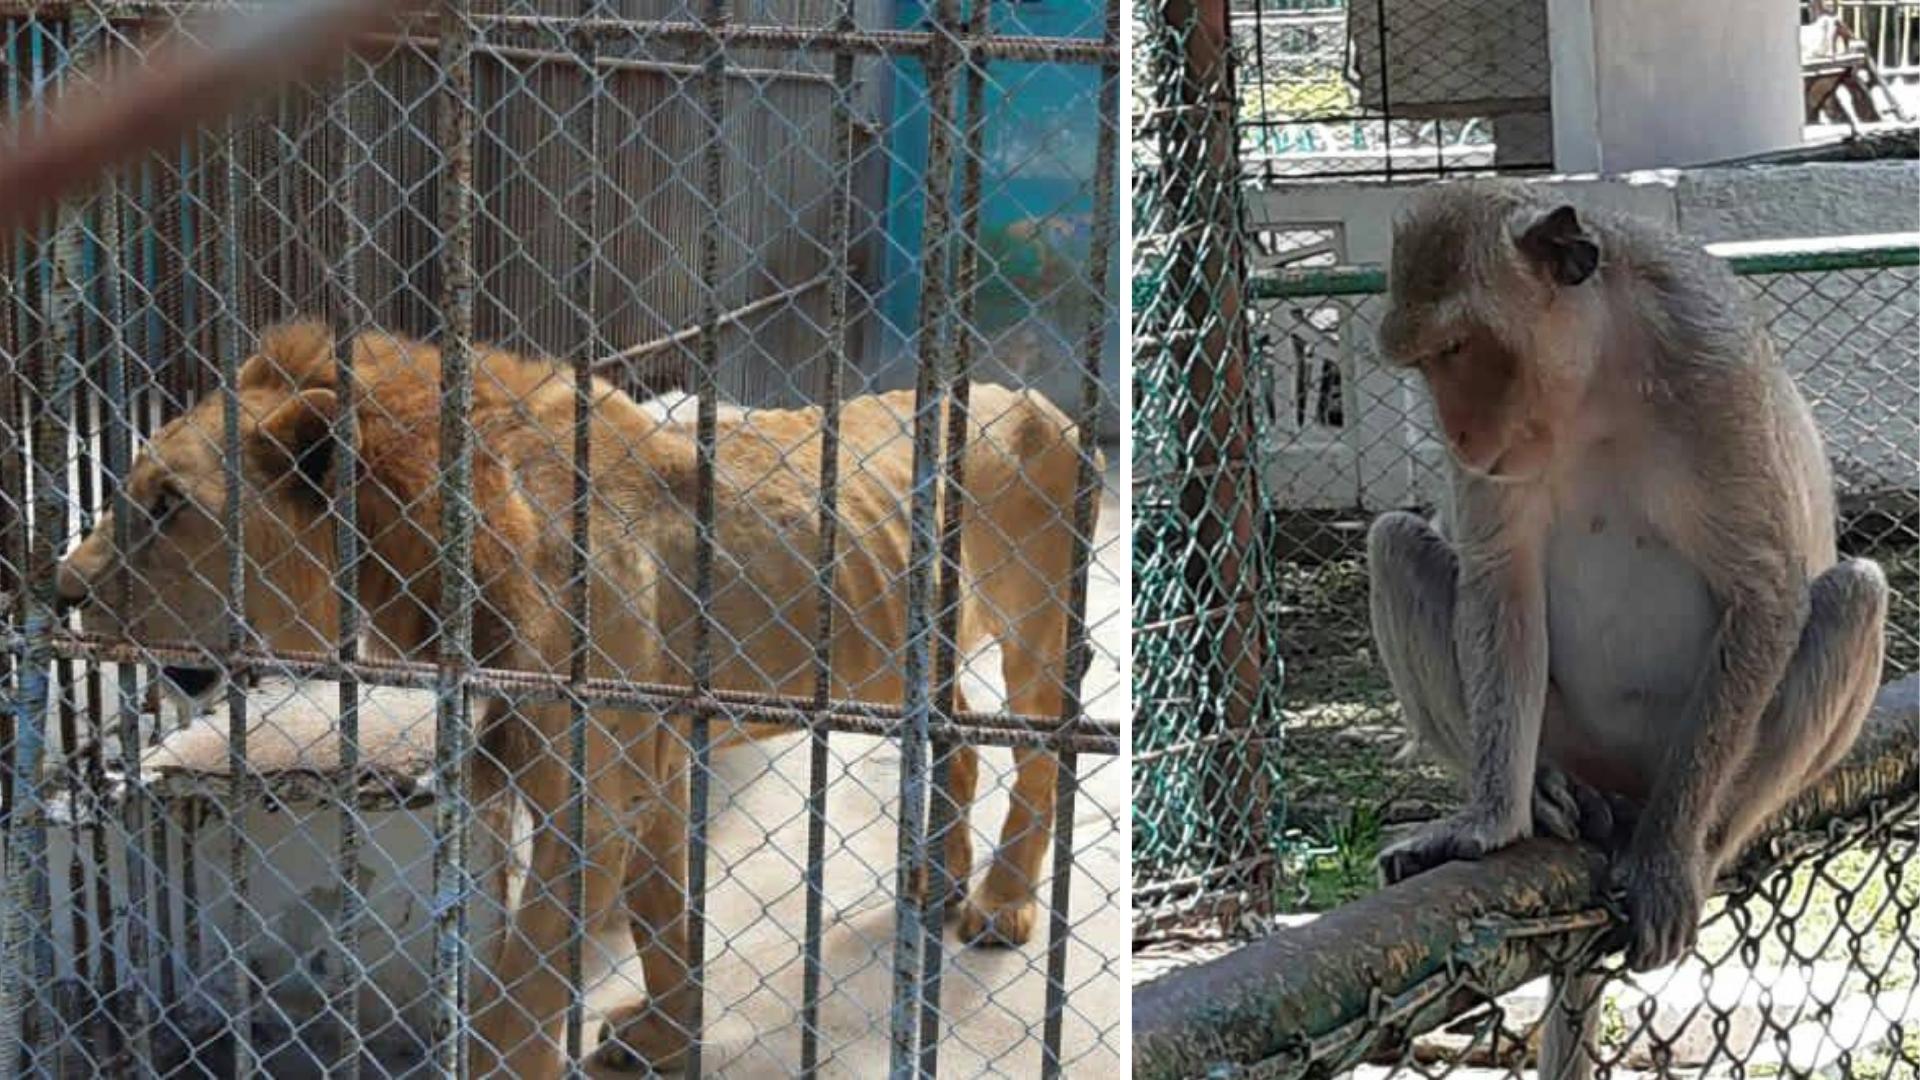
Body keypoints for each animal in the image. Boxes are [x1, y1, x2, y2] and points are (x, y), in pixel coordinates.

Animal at [56, 322, 1098, 1068]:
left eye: (169, 505)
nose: (58, 590)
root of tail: (1033, 396)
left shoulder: (593, 797)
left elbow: (519, 1001)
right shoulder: (648, 771)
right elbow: (663, 920)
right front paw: (667, 1037)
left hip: (1038, 633)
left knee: (1040, 760)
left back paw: (999, 905)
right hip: (908, 659)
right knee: (957, 744)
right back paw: (934, 877)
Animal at [1367, 178, 1889, 983]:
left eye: (1456, 348)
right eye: (1423, 363)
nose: (1455, 434)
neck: (1596, 385)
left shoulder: (1712, 366)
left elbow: (1766, 592)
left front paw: (1668, 861)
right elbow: (1499, 582)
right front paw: (1489, 823)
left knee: (1854, 597)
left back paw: (1700, 846)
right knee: (1394, 545)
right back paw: (1554, 792)